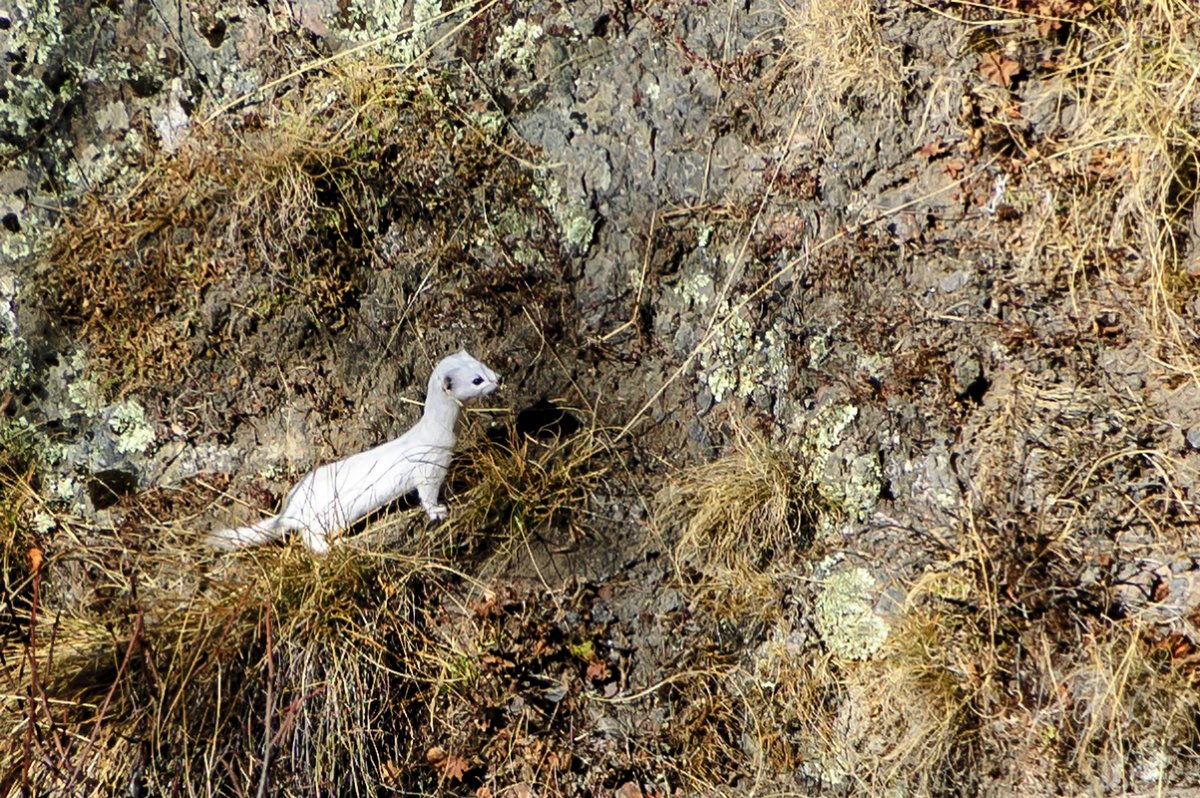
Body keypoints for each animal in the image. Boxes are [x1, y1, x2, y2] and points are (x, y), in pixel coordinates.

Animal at [208, 348, 499, 554]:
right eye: (477, 380)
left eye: (484, 365)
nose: (500, 378)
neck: (441, 434)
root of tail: (288, 509)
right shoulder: (426, 469)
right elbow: (426, 496)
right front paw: (439, 511)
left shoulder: (442, 463)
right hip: (325, 517)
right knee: (310, 537)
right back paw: (333, 547)